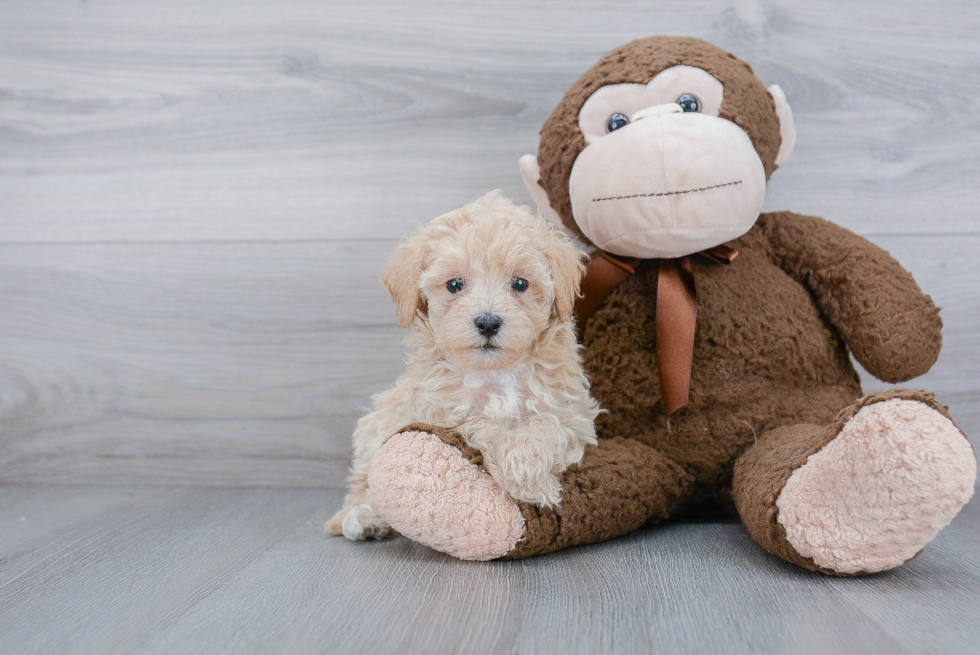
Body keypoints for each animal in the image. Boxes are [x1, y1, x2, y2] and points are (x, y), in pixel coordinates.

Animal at [330, 191, 600, 544]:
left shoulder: (570, 413)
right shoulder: (443, 413)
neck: (496, 372)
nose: (487, 322)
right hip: (376, 428)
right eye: (455, 285)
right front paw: (526, 478)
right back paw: (365, 518)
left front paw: (529, 475)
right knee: (362, 483)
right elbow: (485, 425)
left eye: (520, 283)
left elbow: (543, 427)